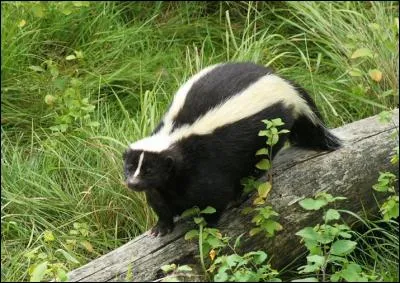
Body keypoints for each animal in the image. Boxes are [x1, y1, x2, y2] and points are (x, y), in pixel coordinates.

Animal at [122, 62, 340, 237]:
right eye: (129, 168)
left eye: (150, 170)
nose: (132, 183)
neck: (175, 135)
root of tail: (282, 83)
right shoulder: (165, 182)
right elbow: (159, 200)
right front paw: (161, 227)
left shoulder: (206, 162)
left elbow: (214, 195)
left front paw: (206, 225)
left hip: (271, 129)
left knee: (259, 162)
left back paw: (241, 192)